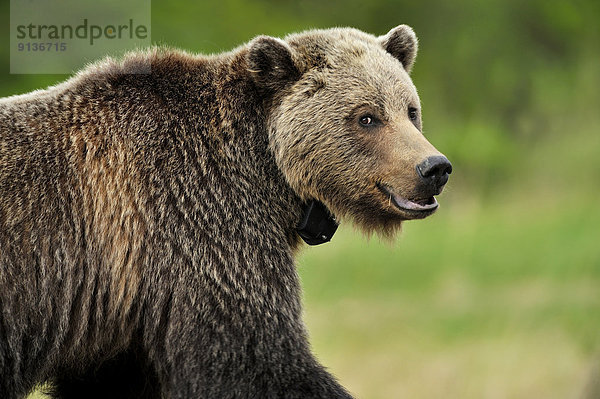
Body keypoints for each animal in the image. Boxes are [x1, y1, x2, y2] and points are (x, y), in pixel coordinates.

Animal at [0, 25, 450, 399]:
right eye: (367, 117)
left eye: (410, 110)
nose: (434, 168)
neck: (267, 175)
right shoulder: (196, 222)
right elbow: (255, 357)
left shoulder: (121, 317)